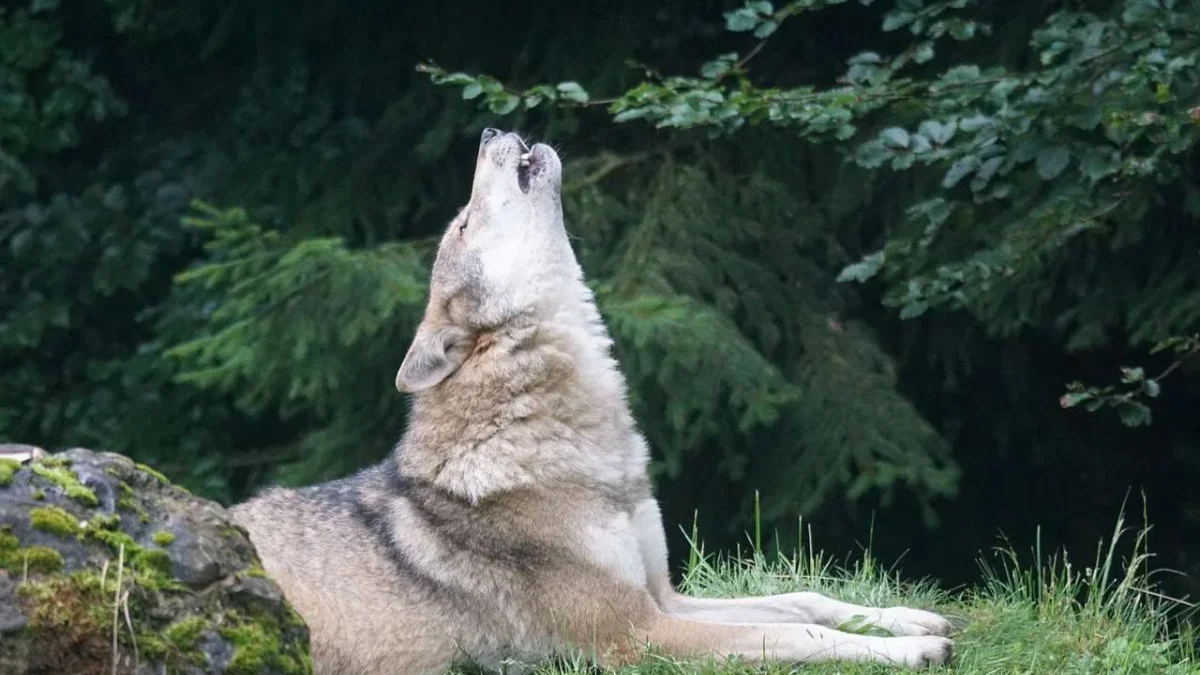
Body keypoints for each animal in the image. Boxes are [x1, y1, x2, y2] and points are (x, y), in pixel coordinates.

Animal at [231, 128, 955, 667]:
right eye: (462, 225)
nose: (491, 130)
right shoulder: (637, 633)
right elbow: (791, 632)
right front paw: (909, 652)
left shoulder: (665, 596)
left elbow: (804, 598)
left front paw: (910, 619)